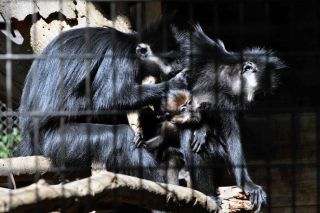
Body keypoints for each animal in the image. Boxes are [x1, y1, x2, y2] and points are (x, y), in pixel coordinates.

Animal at [18, 18, 188, 181]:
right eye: (170, 57)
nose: (178, 65)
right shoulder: (119, 56)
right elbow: (106, 98)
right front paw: (173, 85)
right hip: (57, 141)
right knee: (120, 137)